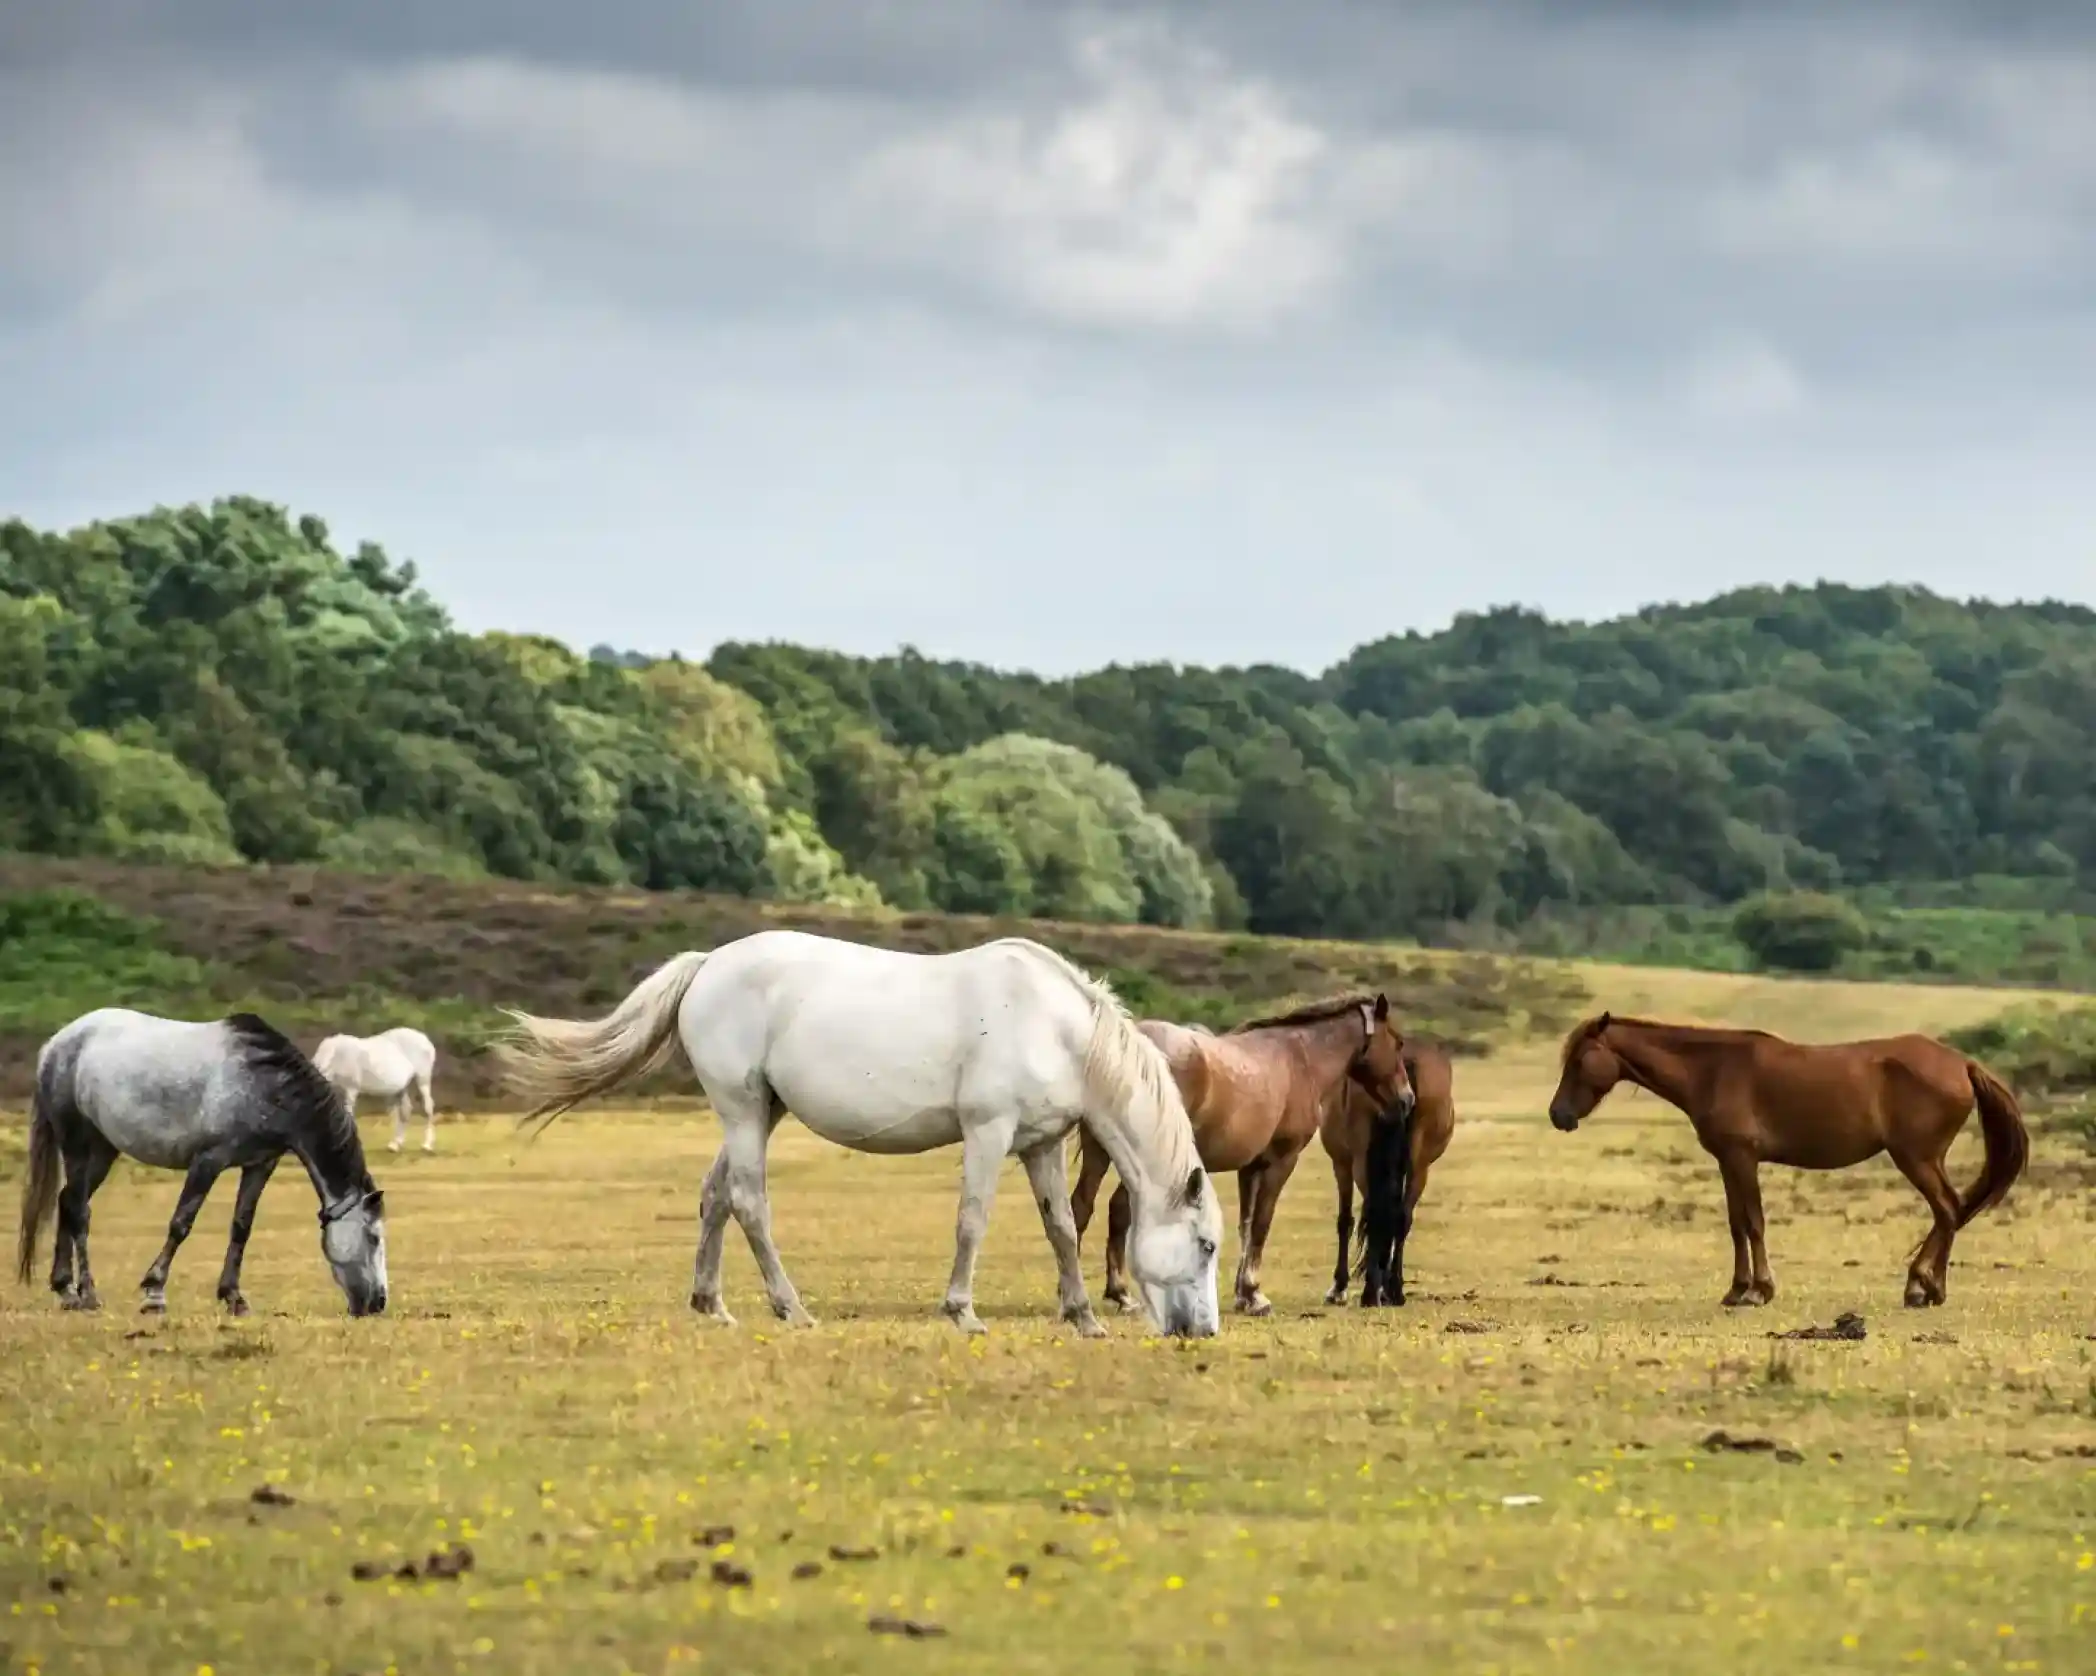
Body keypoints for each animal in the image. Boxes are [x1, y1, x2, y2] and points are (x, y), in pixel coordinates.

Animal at [16, 1008, 389, 1318]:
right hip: (77, 1144)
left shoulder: (259, 1165)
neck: (263, 1083)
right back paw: (89, 1294)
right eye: (373, 1237)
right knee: (79, 1211)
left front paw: (233, 1297)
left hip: (103, 1150)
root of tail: (55, 1045)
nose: (378, 1303)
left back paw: (66, 1290)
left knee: (67, 1202)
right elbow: (181, 1223)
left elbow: (241, 1227)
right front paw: (154, 1292)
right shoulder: (208, 1161)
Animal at [494, 929, 1225, 1338]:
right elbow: (973, 1221)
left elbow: (1062, 1228)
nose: (1205, 1332)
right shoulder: (987, 1134)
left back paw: (712, 1304)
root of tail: (706, 965)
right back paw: (790, 1308)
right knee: (750, 1202)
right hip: (741, 1109)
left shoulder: (1039, 1144)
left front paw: (1083, 1317)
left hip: (759, 1111)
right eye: (1208, 1245)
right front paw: (962, 1311)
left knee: (715, 1196)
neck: (1056, 1027)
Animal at [1068, 993, 1416, 1317]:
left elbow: (1246, 1226)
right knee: (1117, 1209)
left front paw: (1243, 1294)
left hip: (1101, 1154)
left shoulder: (1250, 1168)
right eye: (1398, 1043)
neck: (1301, 1059)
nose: (1407, 1099)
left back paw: (1106, 1294)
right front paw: (1254, 1293)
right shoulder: (1281, 1162)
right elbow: (1262, 1223)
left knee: (1085, 1207)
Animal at [1318, 1038, 1458, 1307]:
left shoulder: (1341, 1163)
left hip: (1362, 1163)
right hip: (1419, 1166)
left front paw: (1338, 1287)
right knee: (1401, 1217)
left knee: (1376, 1214)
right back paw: (1394, 1289)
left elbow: (1345, 1220)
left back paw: (1371, 1292)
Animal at [1545, 1013, 2028, 1308]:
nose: (1558, 1116)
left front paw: (1759, 1290)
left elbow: (1754, 1222)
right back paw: (1927, 1286)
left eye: (1581, 1059)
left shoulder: (1743, 1158)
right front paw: (1737, 1289)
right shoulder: (1727, 1161)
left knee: (1947, 1209)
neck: (1712, 1069)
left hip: (1916, 1159)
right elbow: (1736, 1224)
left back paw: (1923, 1287)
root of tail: (1963, 1064)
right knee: (1952, 1211)